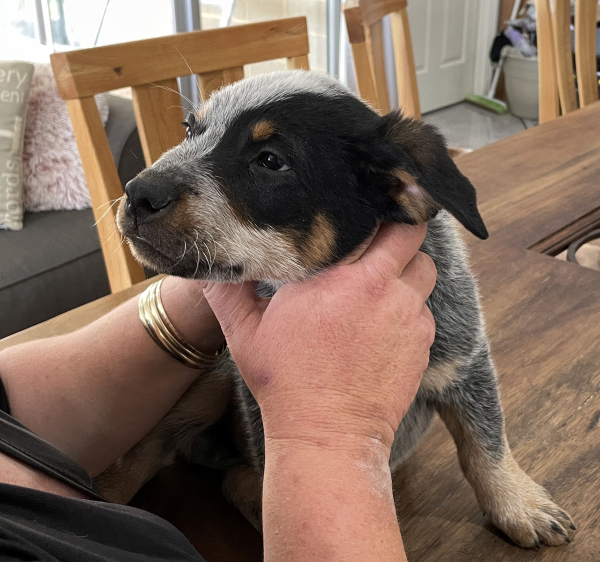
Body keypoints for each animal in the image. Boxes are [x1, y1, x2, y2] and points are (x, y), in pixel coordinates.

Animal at [104, 70, 576, 548]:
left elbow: (486, 440)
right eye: (189, 130)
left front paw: (518, 503)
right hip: (212, 381)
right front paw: (520, 504)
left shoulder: (464, 360)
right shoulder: (256, 400)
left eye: (271, 161)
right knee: (153, 450)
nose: (137, 192)